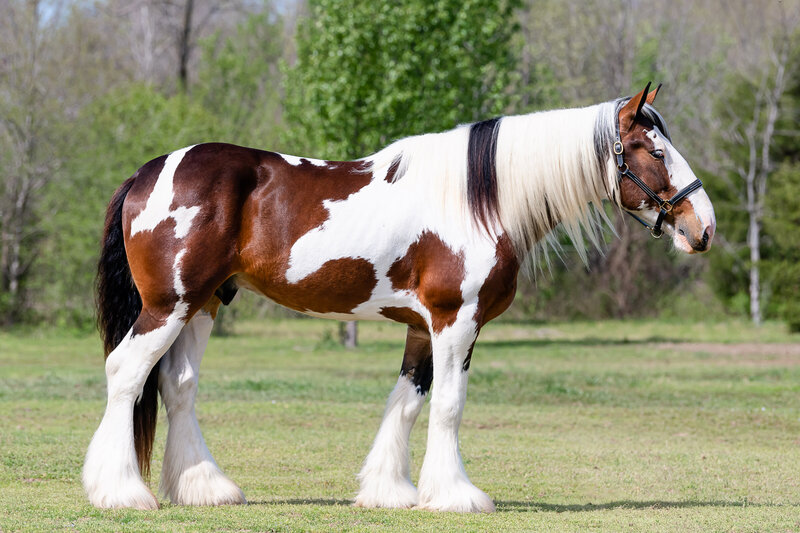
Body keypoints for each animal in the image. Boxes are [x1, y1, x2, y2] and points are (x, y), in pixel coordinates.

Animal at [83, 83, 720, 512]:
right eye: (655, 152)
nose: (703, 228)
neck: (478, 200)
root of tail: (148, 172)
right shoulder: (456, 322)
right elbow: (449, 406)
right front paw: (457, 495)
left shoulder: (422, 326)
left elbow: (408, 401)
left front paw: (390, 491)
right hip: (168, 305)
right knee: (126, 372)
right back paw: (121, 491)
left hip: (204, 304)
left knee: (177, 386)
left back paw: (207, 488)